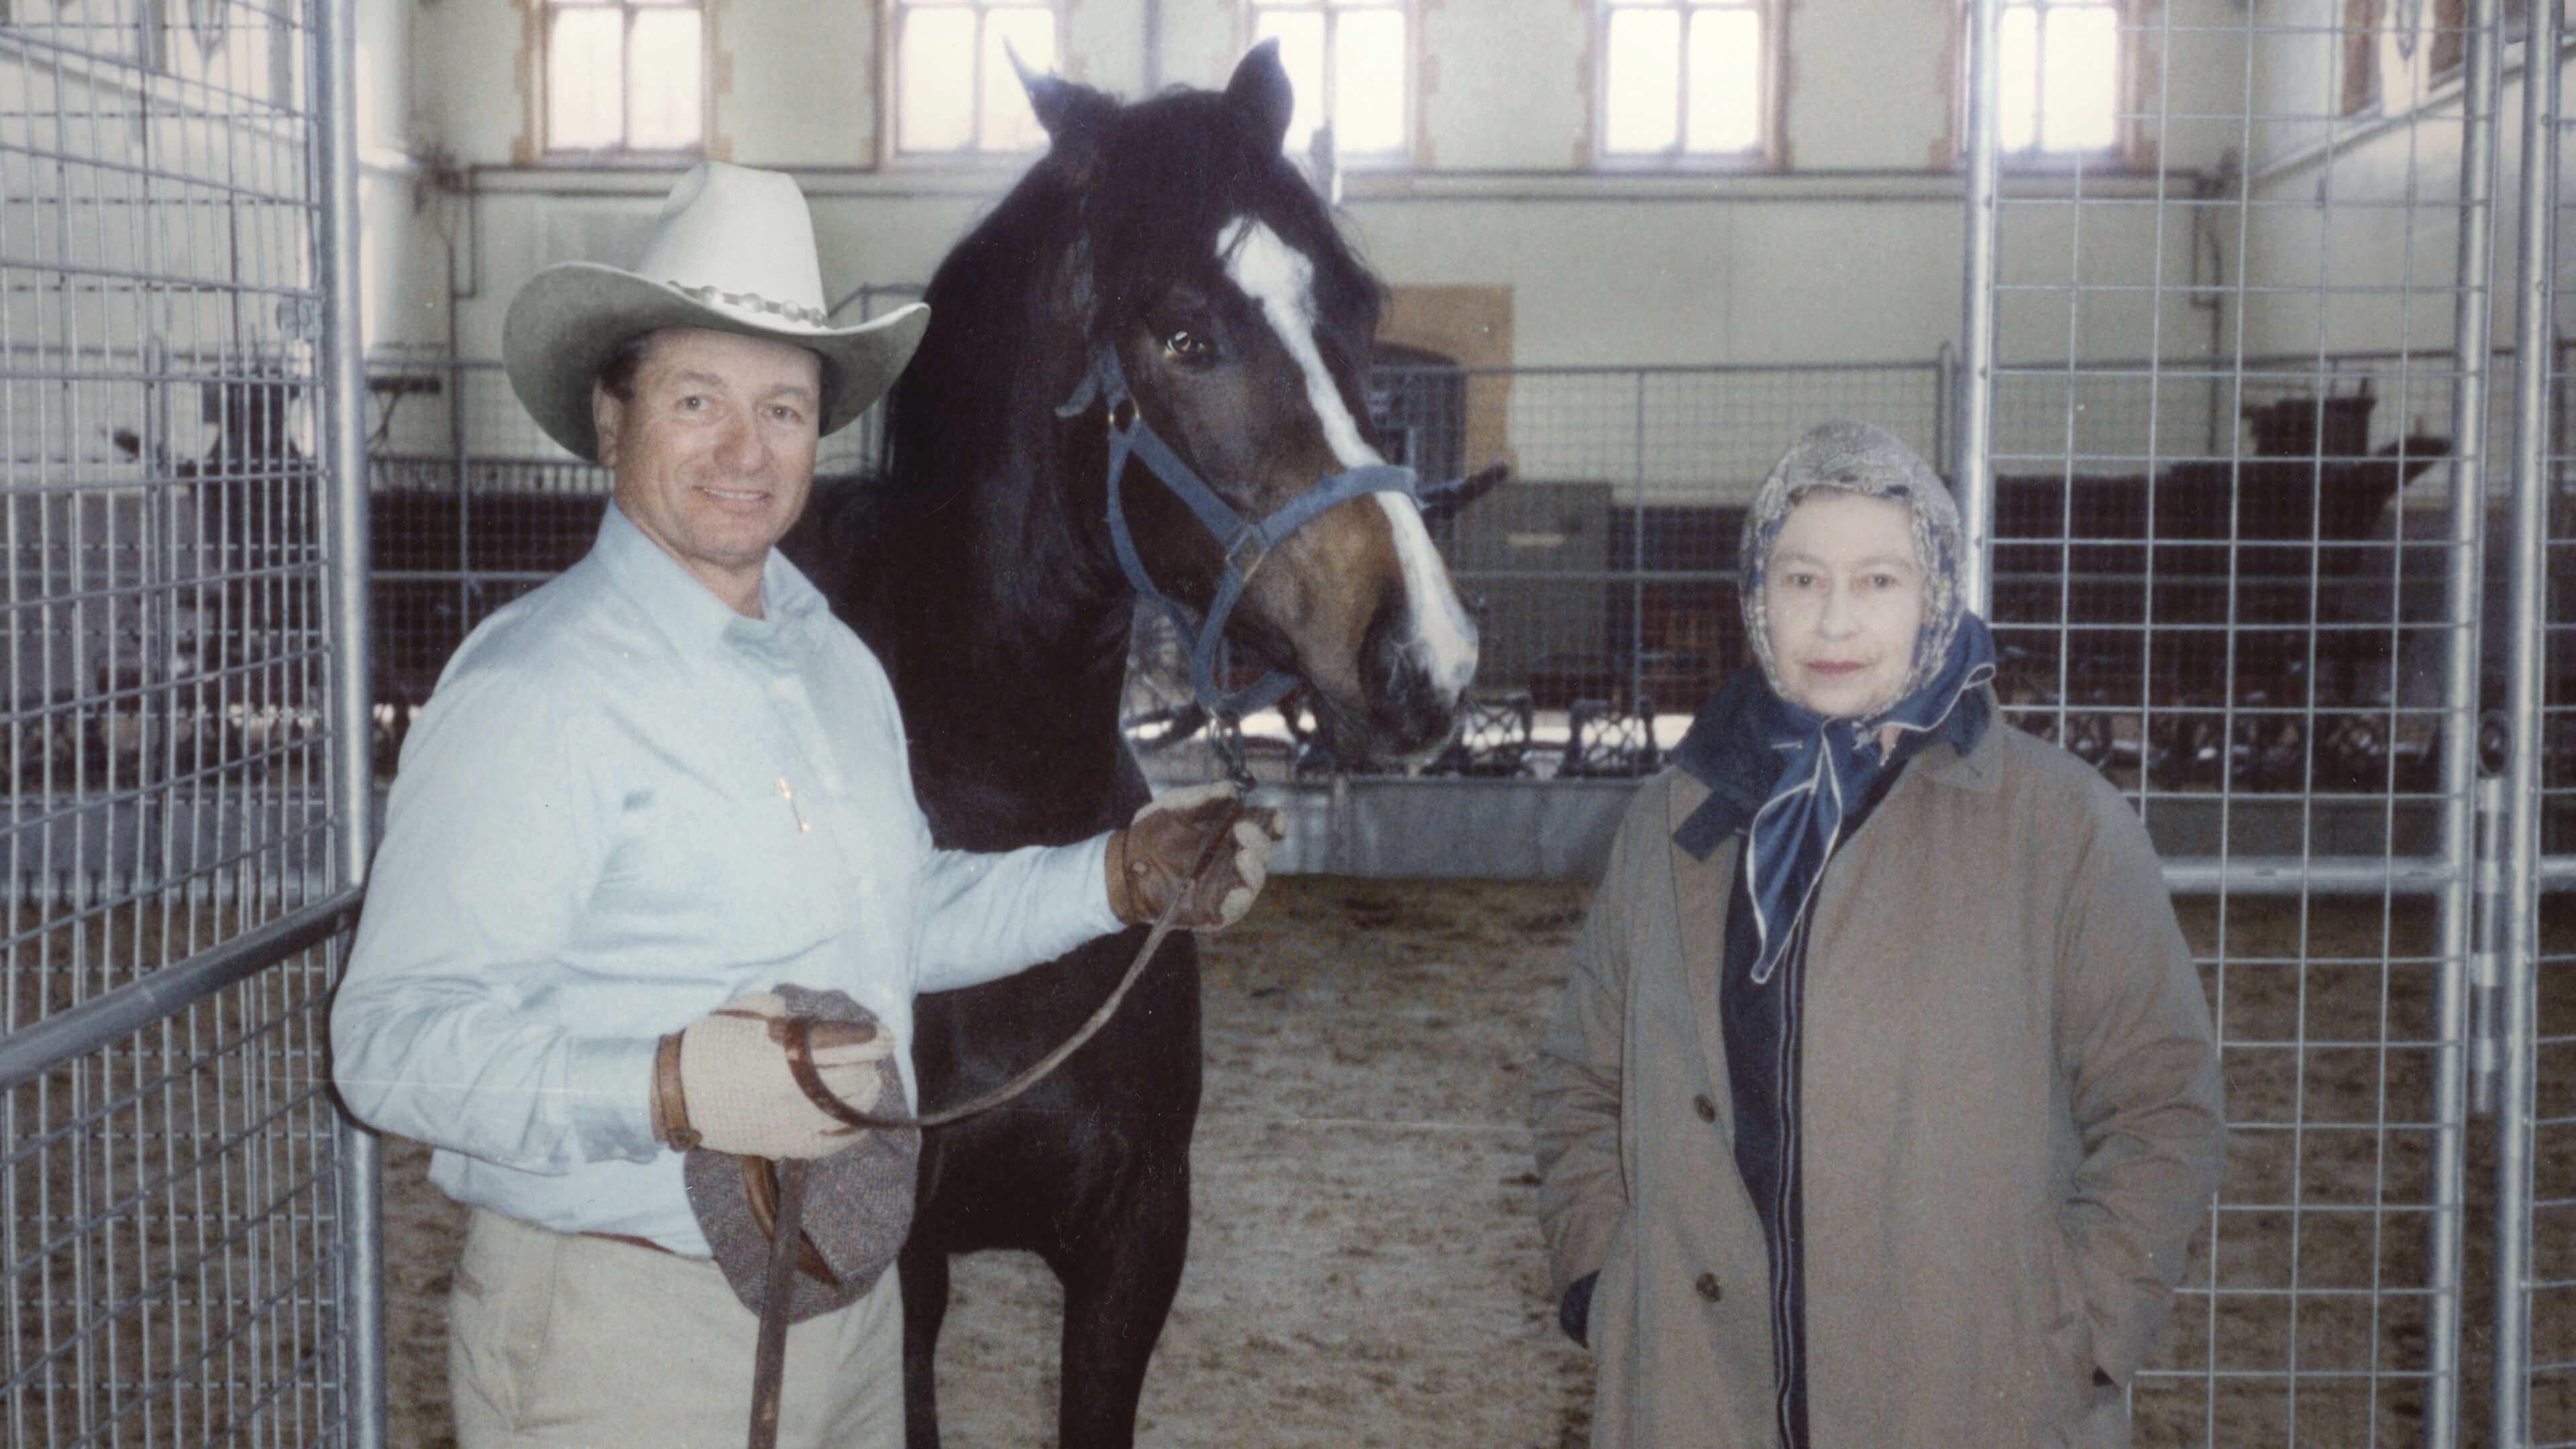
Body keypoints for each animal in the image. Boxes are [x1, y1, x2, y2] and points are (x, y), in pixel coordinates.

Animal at [777, 45, 1473, 1444]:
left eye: (1359, 312)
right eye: (1184, 335)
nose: (1422, 659)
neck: (998, 811)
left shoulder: (1136, 1241)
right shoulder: (905, 1269)